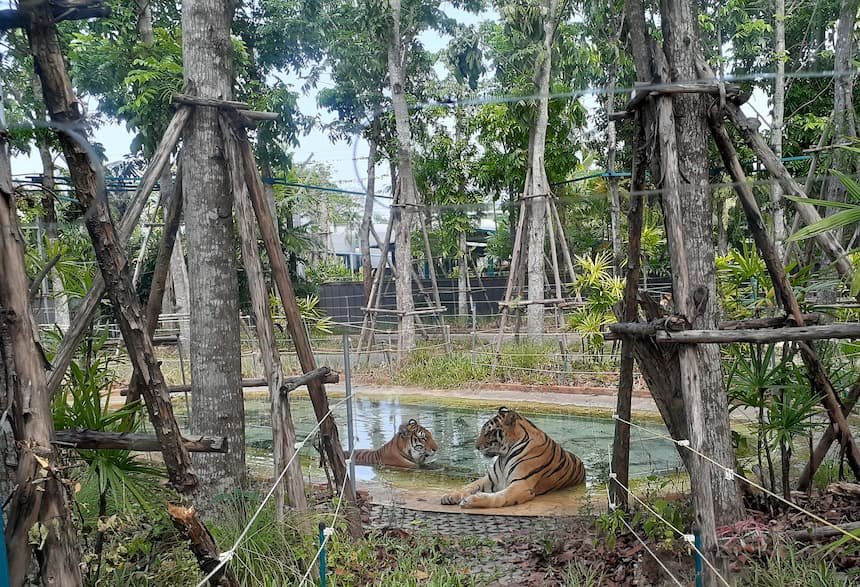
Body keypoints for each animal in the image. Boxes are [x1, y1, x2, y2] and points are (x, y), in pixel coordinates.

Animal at [440, 406, 588, 508]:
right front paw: (450, 496)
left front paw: (471, 500)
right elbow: (469, 486)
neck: (504, 457)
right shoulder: (490, 479)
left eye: (488, 432)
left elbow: (498, 497)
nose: (476, 447)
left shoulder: (521, 485)